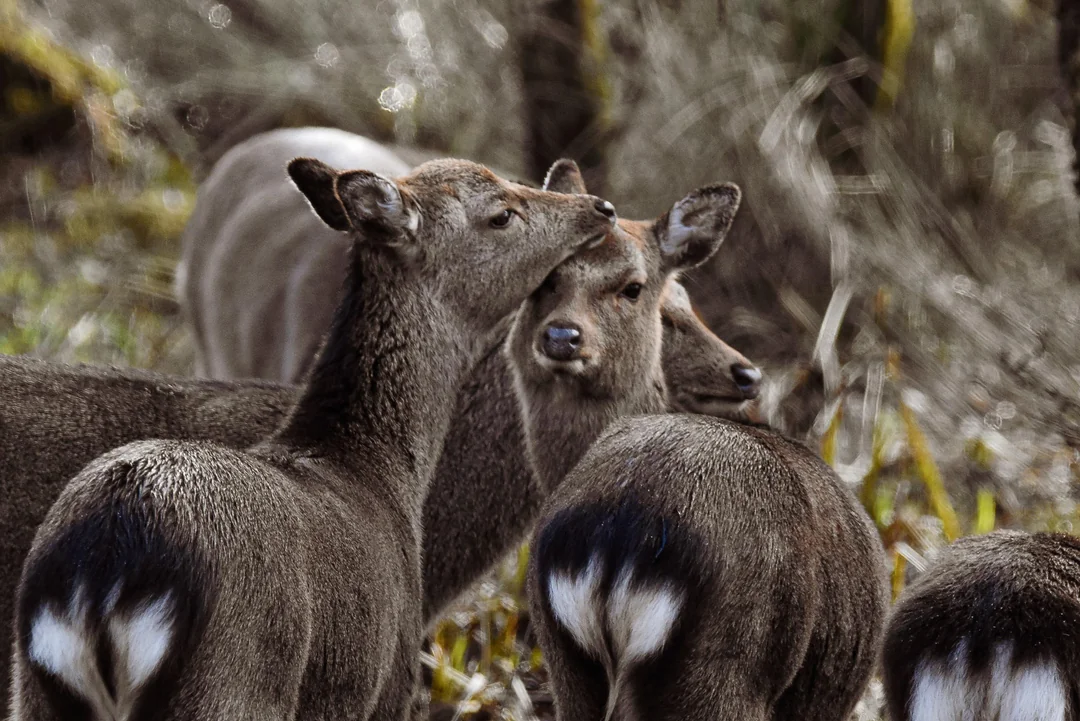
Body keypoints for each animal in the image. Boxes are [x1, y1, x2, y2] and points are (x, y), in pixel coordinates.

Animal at [10, 157, 618, 720]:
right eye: (501, 213)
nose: (600, 207)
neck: (375, 471)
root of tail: (101, 584)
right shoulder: (390, 680)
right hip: (232, 686)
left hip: (32, 689)